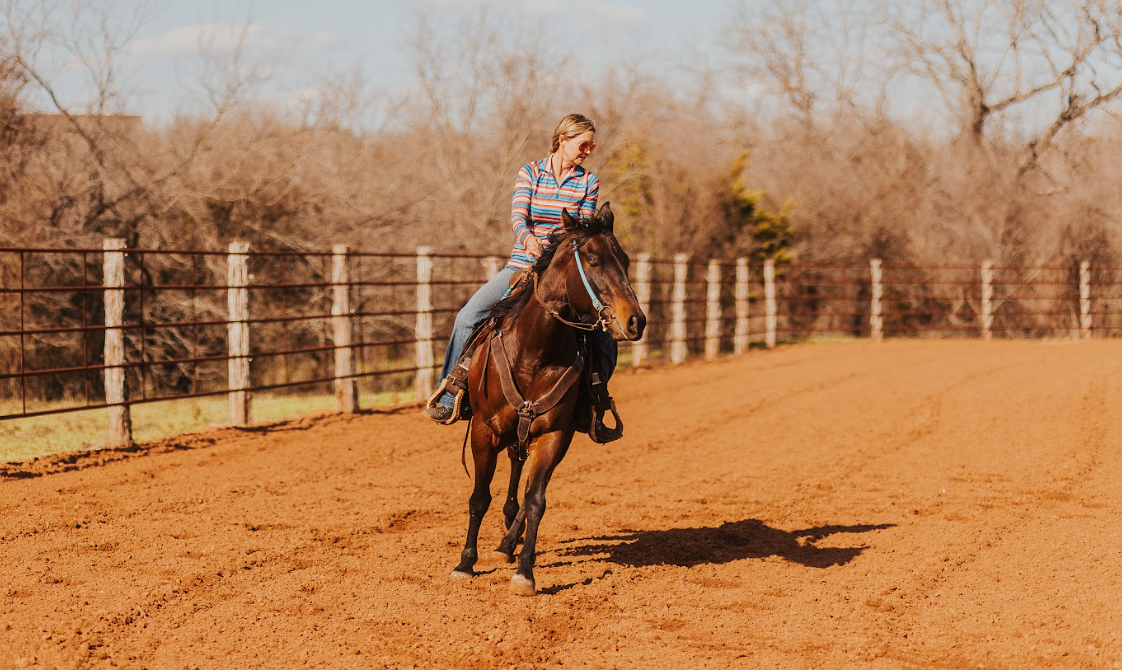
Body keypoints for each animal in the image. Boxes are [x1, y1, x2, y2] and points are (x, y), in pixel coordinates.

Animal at [446, 200, 646, 592]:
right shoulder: (483, 431)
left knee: (524, 489)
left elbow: (536, 499)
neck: (534, 352)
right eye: (594, 260)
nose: (636, 321)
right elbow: (479, 498)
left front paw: (524, 572)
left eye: (626, 260)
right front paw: (465, 563)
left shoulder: (554, 434)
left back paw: (508, 543)